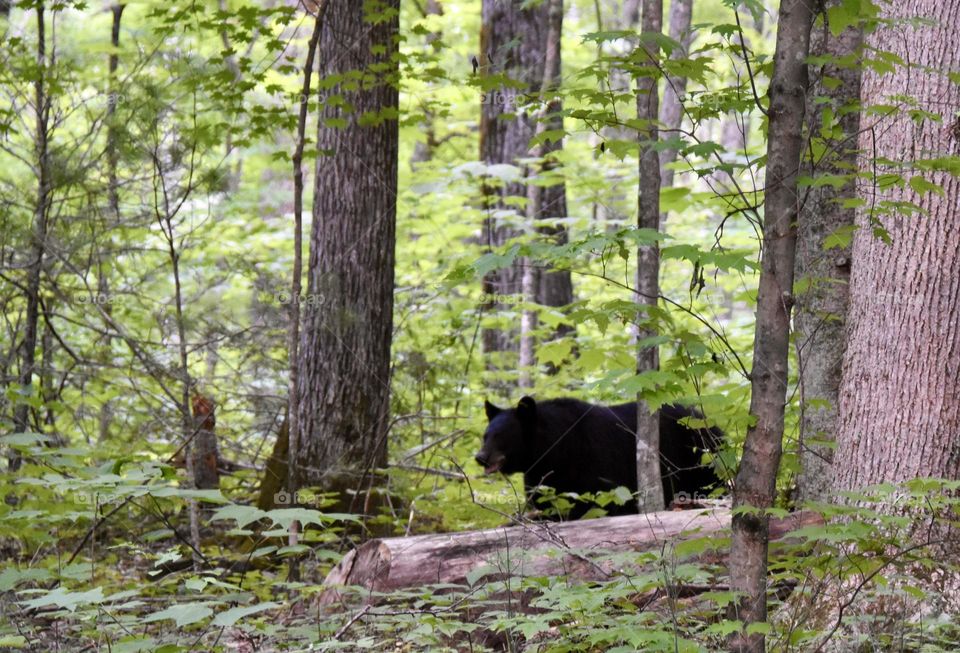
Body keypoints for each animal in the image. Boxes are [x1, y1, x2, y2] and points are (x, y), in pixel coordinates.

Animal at [474, 396, 724, 519]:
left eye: (501, 435)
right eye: (485, 435)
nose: (480, 457)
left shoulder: (595, 466)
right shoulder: (543, 478)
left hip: (700, 460)